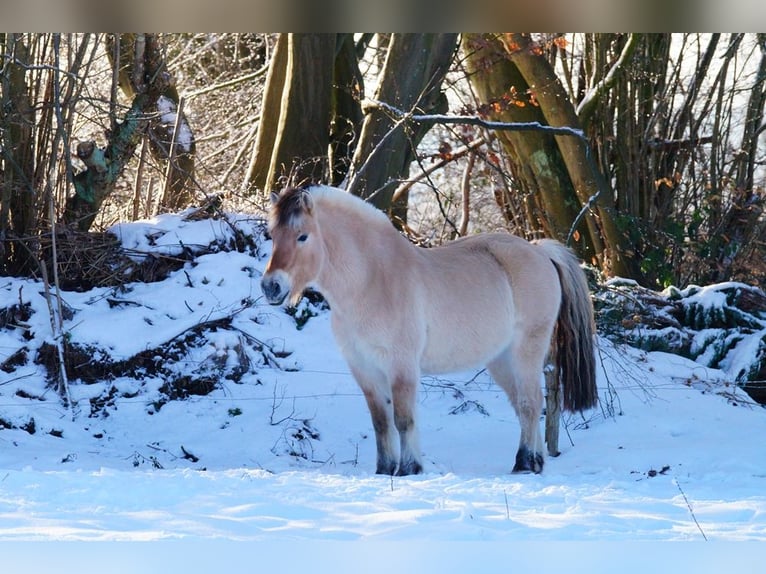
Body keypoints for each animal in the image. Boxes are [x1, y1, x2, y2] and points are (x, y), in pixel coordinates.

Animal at [261, 184, 597, 476]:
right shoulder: (364, 369)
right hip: (501, 360)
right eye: (272, 235)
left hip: (526, 351)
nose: (270, 287)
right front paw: (385, 470)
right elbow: (381, 423)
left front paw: (410, 468)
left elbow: (403, 419)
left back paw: (525, 463)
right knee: (525, 406)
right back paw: (536, 461)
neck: (372, 281)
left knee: (531, 404)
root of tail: (539, 251)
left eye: (303, 236)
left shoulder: (402, 366)